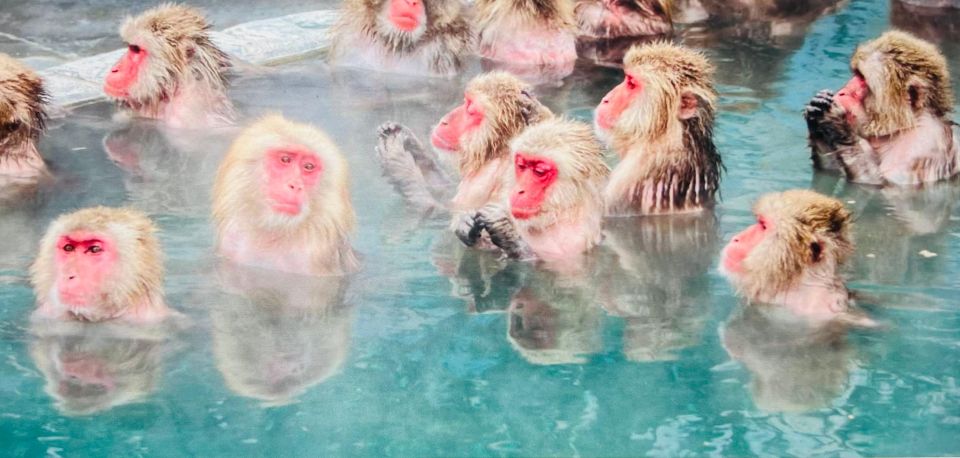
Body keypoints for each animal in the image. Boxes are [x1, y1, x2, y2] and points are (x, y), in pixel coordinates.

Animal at [457, 118, 610, 267]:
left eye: (539, 171)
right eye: (521, 166)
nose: (519, 190)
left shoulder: (576, 239)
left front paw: (505, 231)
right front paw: (466, 223)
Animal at [804, 31, 959, 185]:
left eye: (863, 79)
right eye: (856, 74)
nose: (843, 92)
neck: (902, 127)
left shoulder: (925, 143)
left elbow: (883, 183)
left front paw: (837, 125)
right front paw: (816, 118)